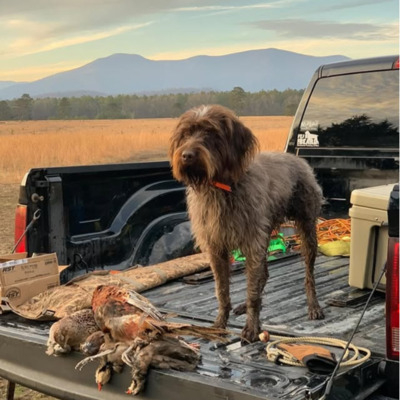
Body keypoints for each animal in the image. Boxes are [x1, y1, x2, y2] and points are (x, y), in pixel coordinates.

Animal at [169, 104, 324, 342]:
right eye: (186, 134)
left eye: (211, 133)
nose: (186, 155)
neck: (221, 187)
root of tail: (296, 158)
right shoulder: (217, 248)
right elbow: (222, 291)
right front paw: (220, 323)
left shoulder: (252, 244)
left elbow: (251, 292)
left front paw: (251, 327)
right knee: (264, 274)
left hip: (307, 231)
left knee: (309, 275)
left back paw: (313, 305)